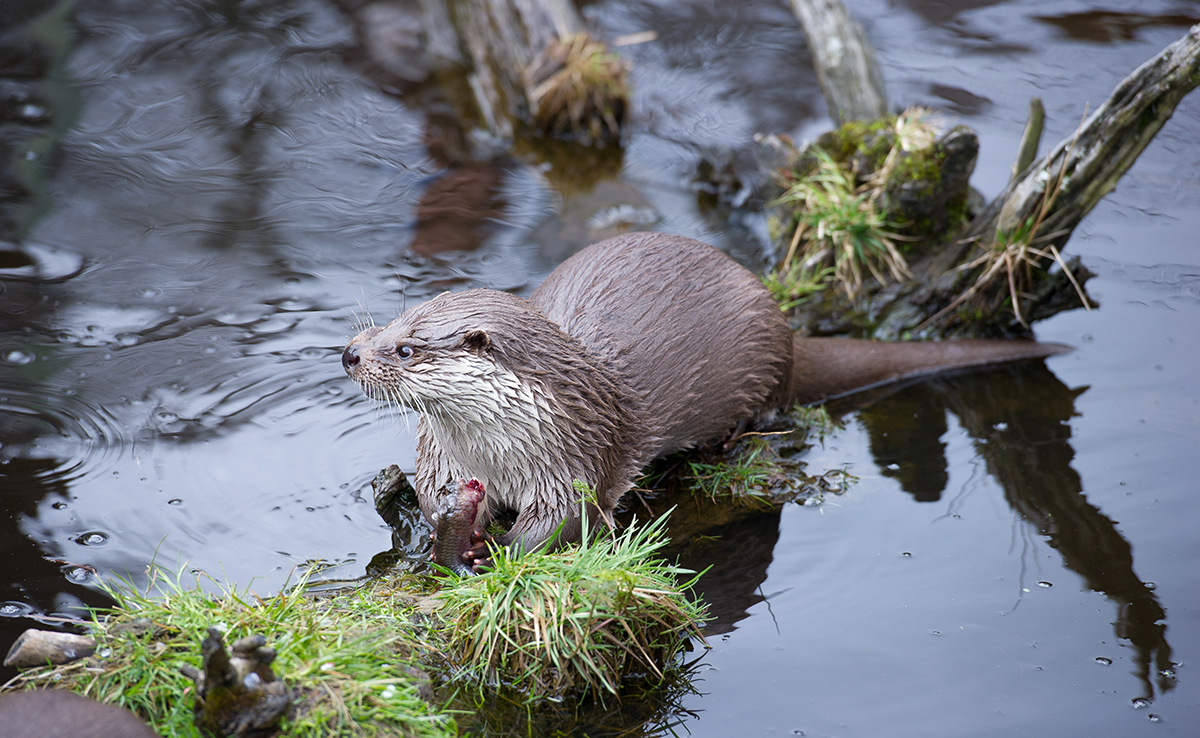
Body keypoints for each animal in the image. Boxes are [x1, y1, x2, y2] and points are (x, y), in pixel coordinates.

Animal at [343, 232, 1065, 571]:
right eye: (388, 325)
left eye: (404, 348)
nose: (350, 353)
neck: (501, 452)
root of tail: (787, 329)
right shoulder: (443, 457)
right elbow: (431, 499)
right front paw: (452, 529)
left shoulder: (576, 459)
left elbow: (562, 525)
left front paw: (495, 553)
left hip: (763, 370)